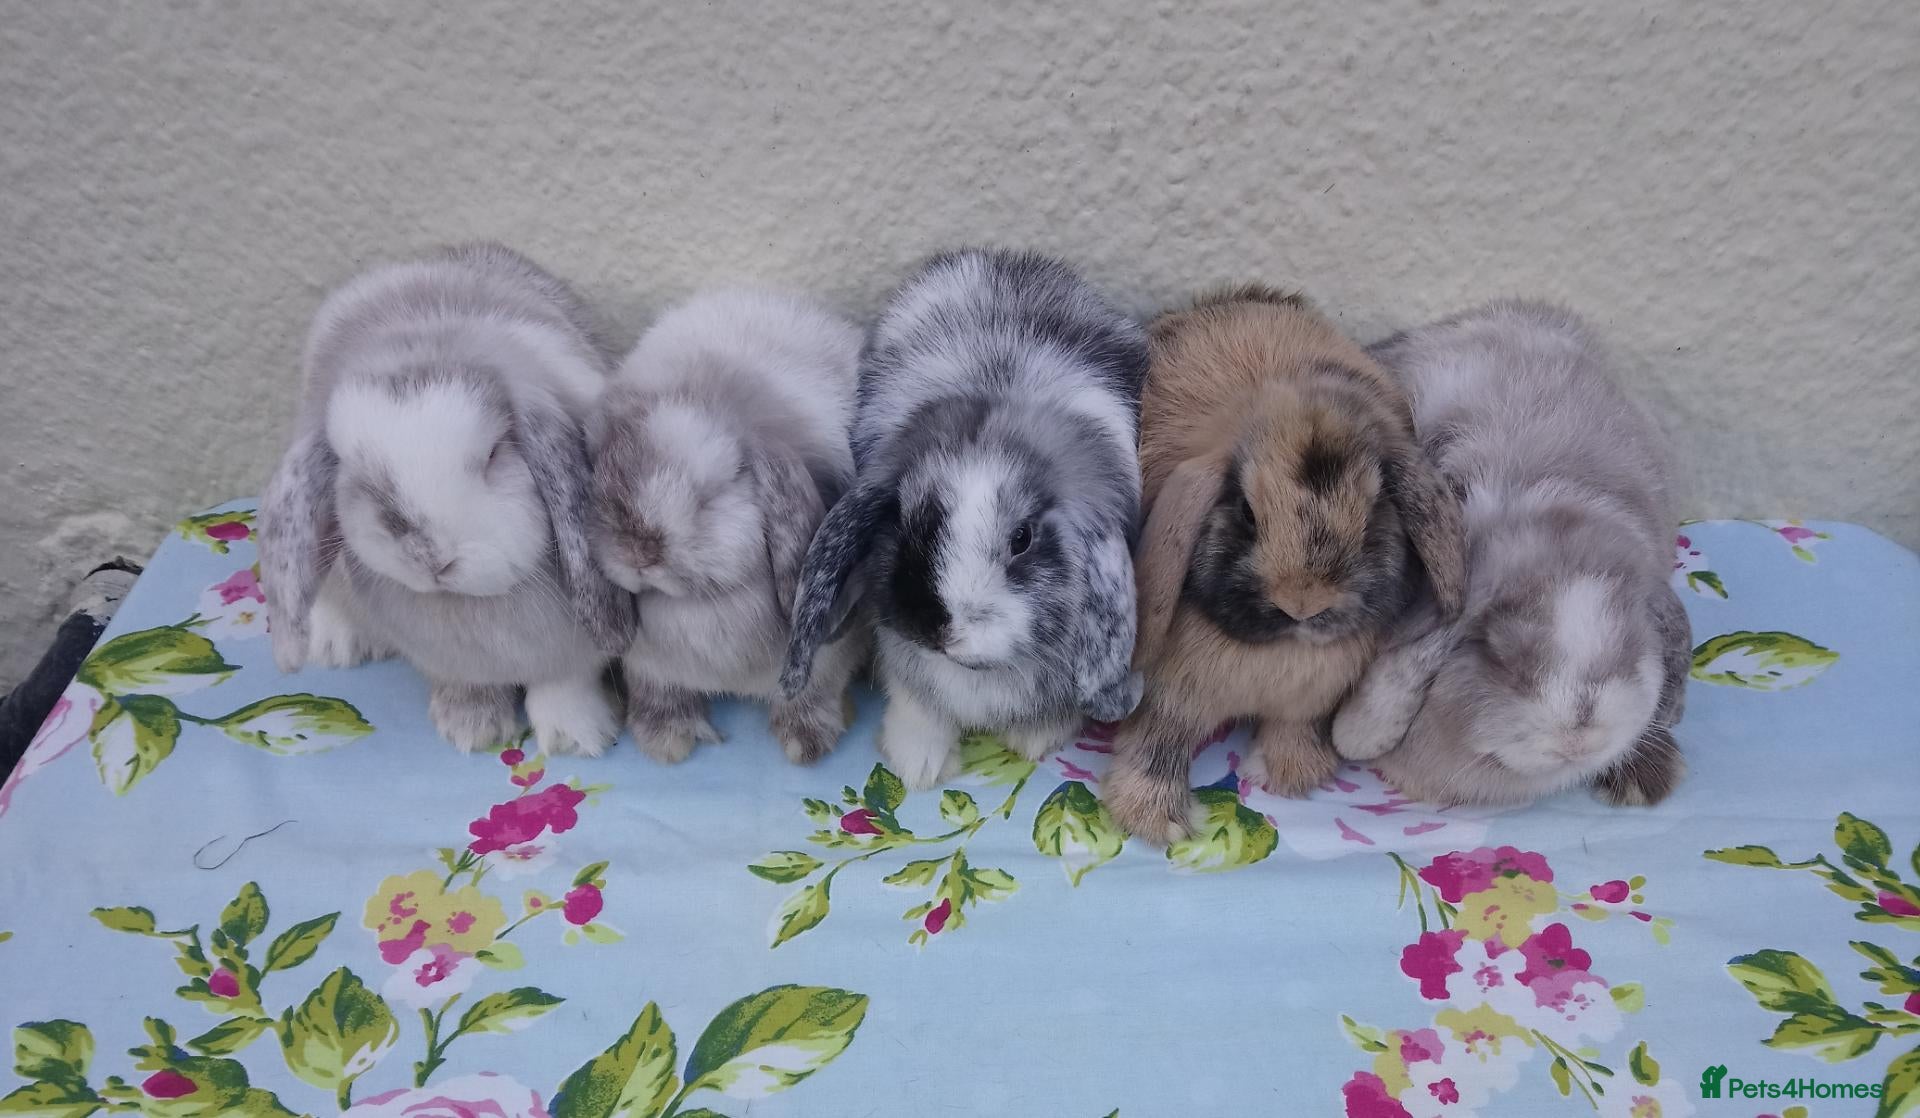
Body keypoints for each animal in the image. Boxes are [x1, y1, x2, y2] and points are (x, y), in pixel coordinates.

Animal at [259, 242, 637, 756]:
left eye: (494, 454)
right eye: (350, 468)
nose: (428, 557)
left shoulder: (576, 654)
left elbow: (564, 685)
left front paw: (577, 738)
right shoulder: (447, 660)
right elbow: (466, 684)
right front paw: (471, 729)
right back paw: (337, 643)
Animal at [587, 289, 870, 765]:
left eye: (715, 492)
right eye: (605, 475)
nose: (640, 550)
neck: (702, 603)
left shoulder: (825, 661)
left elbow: (810, 695)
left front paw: (805, 743)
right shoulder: (650, 668)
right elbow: (661, 696)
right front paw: (666, 741)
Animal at [780, 248, 1149, 790]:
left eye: (1022, 538)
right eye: (906, 521)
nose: (935, 629)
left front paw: (1034, 738)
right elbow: (919, 708)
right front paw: (918, 766)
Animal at [1102, 287, 1467, 844]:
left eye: (1374, 509)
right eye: (1247, 513)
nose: (1302, 604)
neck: (1279, 653)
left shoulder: (1309, 702)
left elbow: (1291, 731)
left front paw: (1291, 774)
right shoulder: (1171, 696)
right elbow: (1158, 741)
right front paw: (1156, 820)